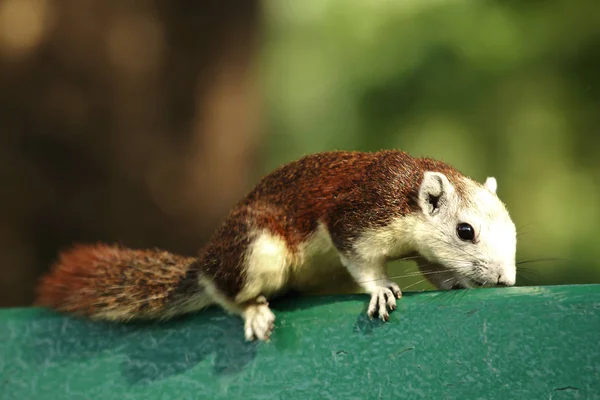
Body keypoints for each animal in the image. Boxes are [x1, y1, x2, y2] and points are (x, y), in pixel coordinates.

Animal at [35, 149, 516, 340]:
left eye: (514, 233)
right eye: (466, 231)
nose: (506, 280)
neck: (406, 189)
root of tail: (205, 260)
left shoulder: (417, 246)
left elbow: (434, 268)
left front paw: (459, 282)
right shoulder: (357, 218)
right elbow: (362, 261)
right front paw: (380, 290)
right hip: (254, 250)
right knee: (222, 289)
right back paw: (253, 311)